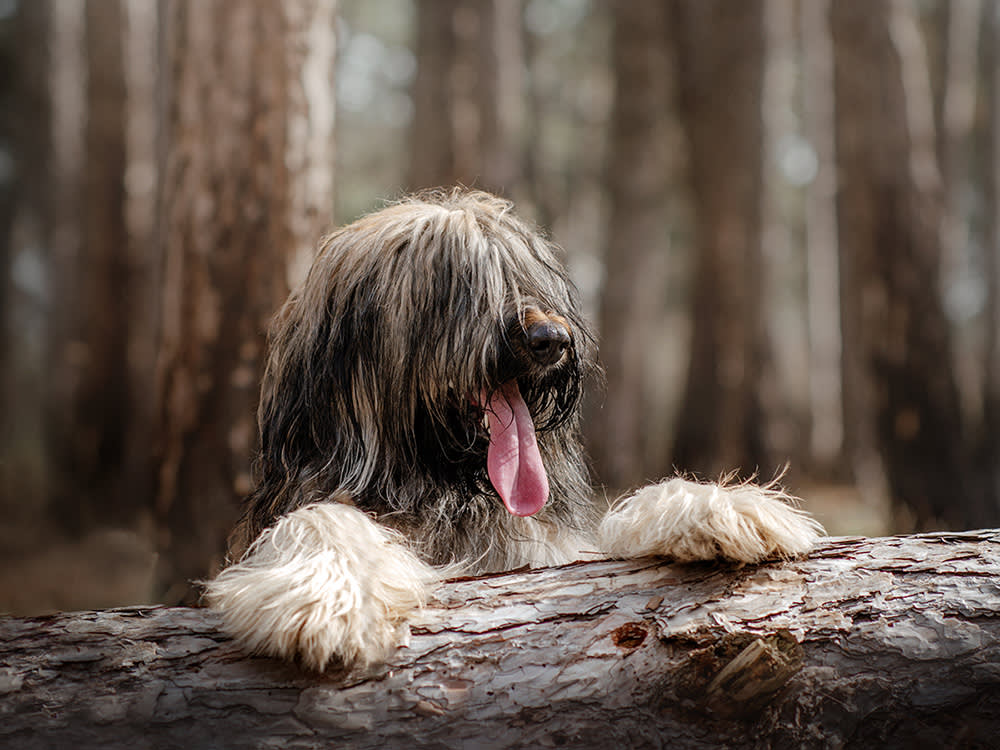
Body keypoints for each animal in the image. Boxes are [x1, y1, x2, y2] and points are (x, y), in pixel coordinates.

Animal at [203, 191, 820, 672]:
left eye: (527, 277)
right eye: (454, 286)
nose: (553, 339)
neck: (450, 492)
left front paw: (719, 506)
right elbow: (320, 516)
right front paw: (327, 594)